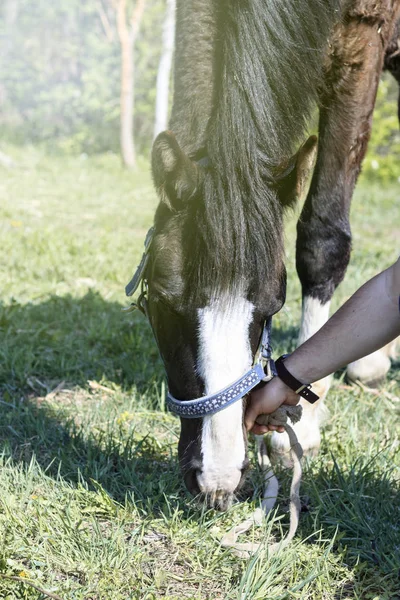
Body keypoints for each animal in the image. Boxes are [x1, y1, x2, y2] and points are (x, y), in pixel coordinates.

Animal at [130, 1, 400, 510]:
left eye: (273, 306)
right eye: (161, 301)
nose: (217, 479)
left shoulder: (363, 41)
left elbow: (322, 239)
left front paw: (304, 425)